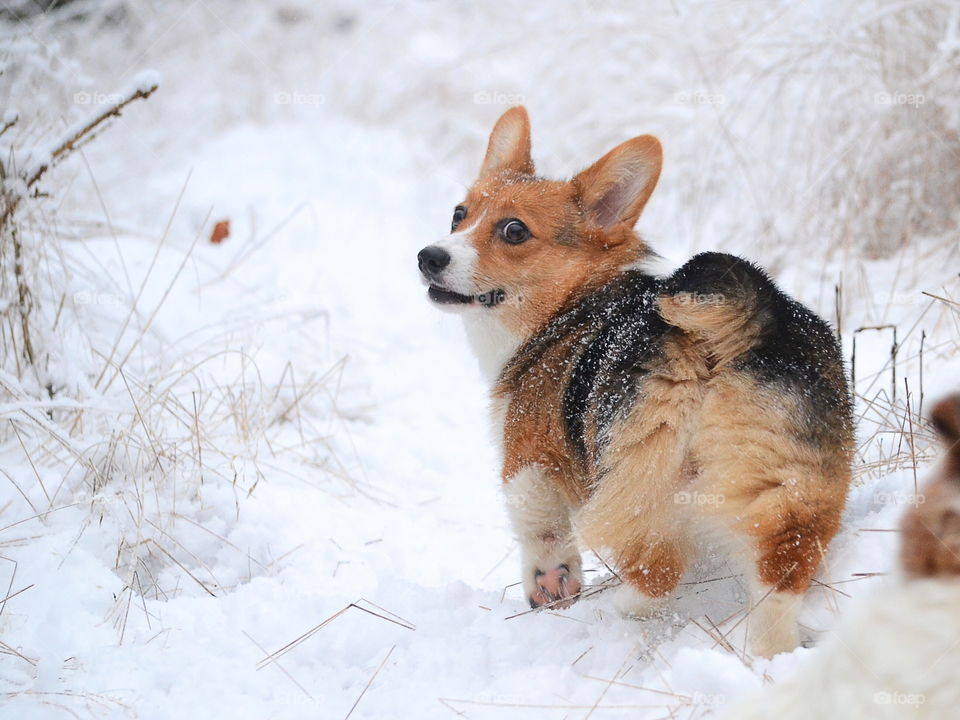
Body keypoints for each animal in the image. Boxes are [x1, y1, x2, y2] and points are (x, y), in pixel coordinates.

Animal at [416, 105, 852, 660]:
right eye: (459, 214)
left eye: (514, 231)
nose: (429, 256)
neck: (570, 307)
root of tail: (732, 328)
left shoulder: (527, 456)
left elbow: (539, 529)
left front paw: (550, 587)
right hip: (797, 486)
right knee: (780, 577)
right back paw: (770, 651)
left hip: (638, 474)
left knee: (657, 571)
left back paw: (620, 611)